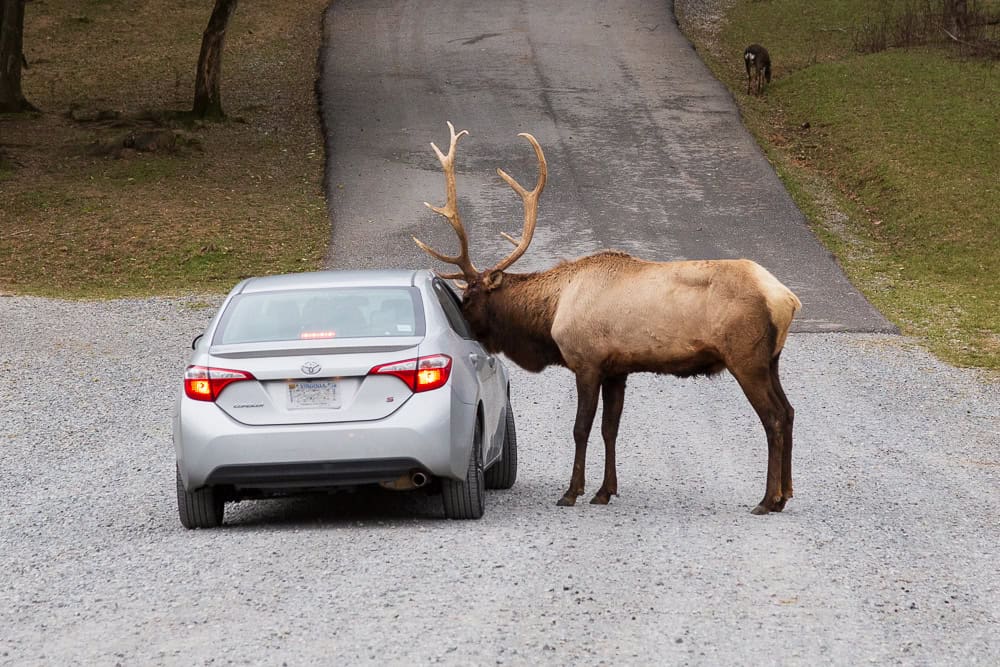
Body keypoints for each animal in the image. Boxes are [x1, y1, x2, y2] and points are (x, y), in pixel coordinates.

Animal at [410, 122, 800, 516]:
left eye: (469, 297)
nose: (459, 326)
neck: (551, 314)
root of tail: (786, 299)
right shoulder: (617, 369)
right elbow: (610, 429)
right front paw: (604, 490)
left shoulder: (587, 361)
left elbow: (580, 428)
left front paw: (571, 491)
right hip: (771, 360)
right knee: (789, 411)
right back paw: (785, 494)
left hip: (745, 357)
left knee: (773, 417)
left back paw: (767, 499)